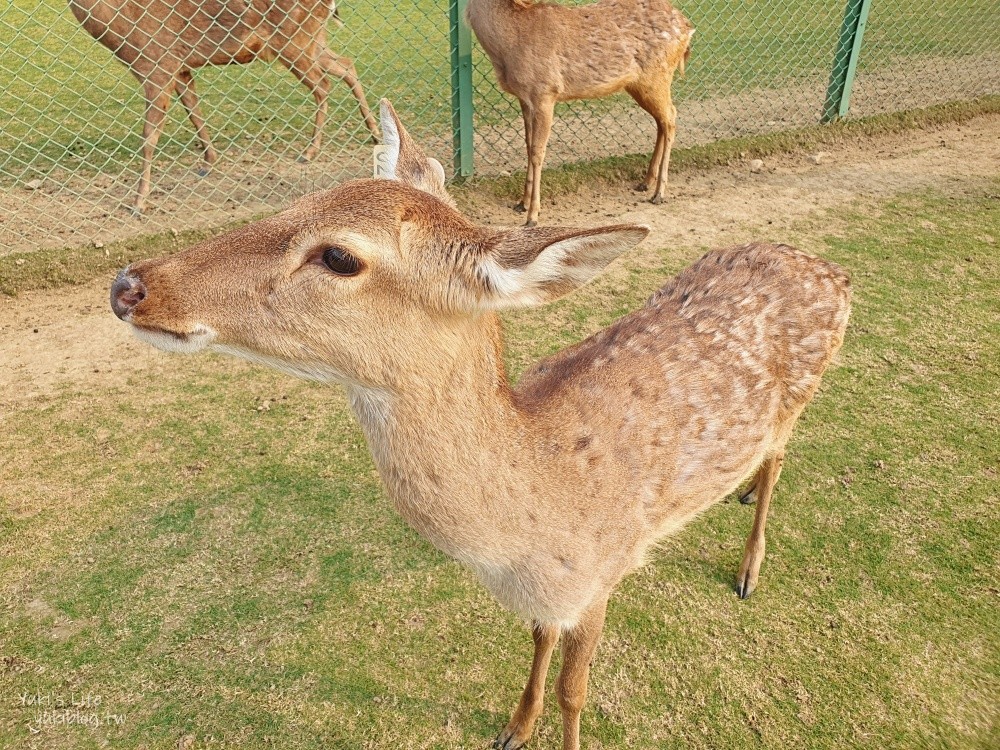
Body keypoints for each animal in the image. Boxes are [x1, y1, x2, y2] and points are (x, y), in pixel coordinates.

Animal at [67, 0, 378, 213]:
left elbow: (149, 137)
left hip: (294, 42)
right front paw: (208, 162)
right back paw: (374, 133)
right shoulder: (180, 69)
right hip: (312, 41)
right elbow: (194, 111)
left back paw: (310, 151)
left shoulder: (157, 67)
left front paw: (138, 203)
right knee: (346, 66)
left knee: (323, 84)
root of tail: (331, 4)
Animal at [109, 101, 848, 750]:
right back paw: (740, 491)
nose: (129, 285)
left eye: (340, 256)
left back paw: (749, 566)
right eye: (301, 200)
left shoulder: (603, 574)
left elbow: (576, 693)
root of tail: (831, 271)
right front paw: (513, 726)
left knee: (782, 457)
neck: (528, 531)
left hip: (803, 398)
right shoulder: (549, 597)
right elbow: (537, 639)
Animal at [468, 0, 696, 226]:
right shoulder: (524, 99)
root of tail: (687, 28)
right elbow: (528, 146)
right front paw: (521, 203)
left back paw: (659, 193)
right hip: (639, 84)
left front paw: (532, 215)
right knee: (661, 121)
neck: (507, 48)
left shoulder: (546, 92)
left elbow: (537, 152)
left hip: (657, 76)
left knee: (671, 117)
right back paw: (646, 182)